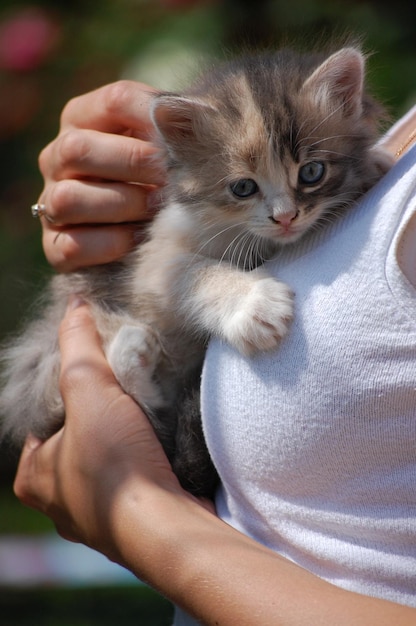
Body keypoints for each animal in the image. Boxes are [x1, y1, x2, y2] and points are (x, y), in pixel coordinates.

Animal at [0, 46, 392, 494]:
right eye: (243, 188)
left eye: (312, 172)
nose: (286, 218)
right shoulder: (154, 260)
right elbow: (197, 273)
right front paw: (254, 306)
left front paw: (377, 163)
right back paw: (132, 350)